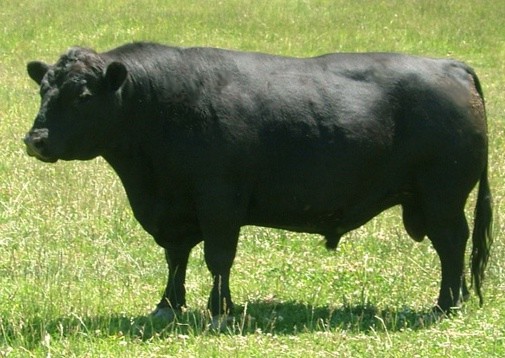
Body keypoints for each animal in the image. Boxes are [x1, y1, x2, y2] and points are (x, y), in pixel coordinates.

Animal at [24, 42, 492, 318]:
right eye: (44, 89)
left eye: (83, 96)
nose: (35, 140)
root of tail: (451, 65)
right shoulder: (175, 209)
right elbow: (176, 259)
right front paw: (168, 306)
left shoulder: (219, 204)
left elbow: (217, 258)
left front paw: (220, 310)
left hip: (442, 199)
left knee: (452, 245)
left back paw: (446, 304)